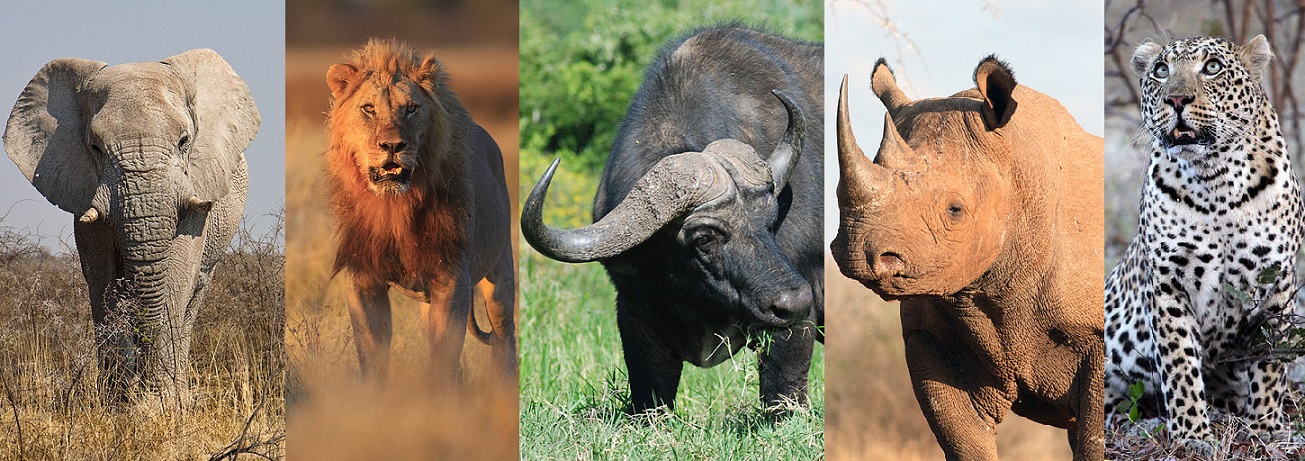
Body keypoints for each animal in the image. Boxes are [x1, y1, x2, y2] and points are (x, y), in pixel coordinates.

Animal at [3, 49, 261, 410]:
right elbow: (103, 279)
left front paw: (161, 407)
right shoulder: (83, 190)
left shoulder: (196, 188)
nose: (145, 388)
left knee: (194, 295)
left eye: (184, 142)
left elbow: (176, 277)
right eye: (95, 147)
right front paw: (120, 407)